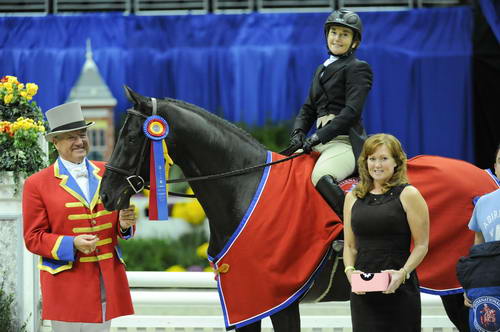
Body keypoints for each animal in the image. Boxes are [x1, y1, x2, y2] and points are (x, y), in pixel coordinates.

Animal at [101, 87, 500, 330]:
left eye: (132, 137)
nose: (106, 197)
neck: (242, 187)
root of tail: (486, 177)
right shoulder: (245, 300)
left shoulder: (278, 298)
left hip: (456, 290)